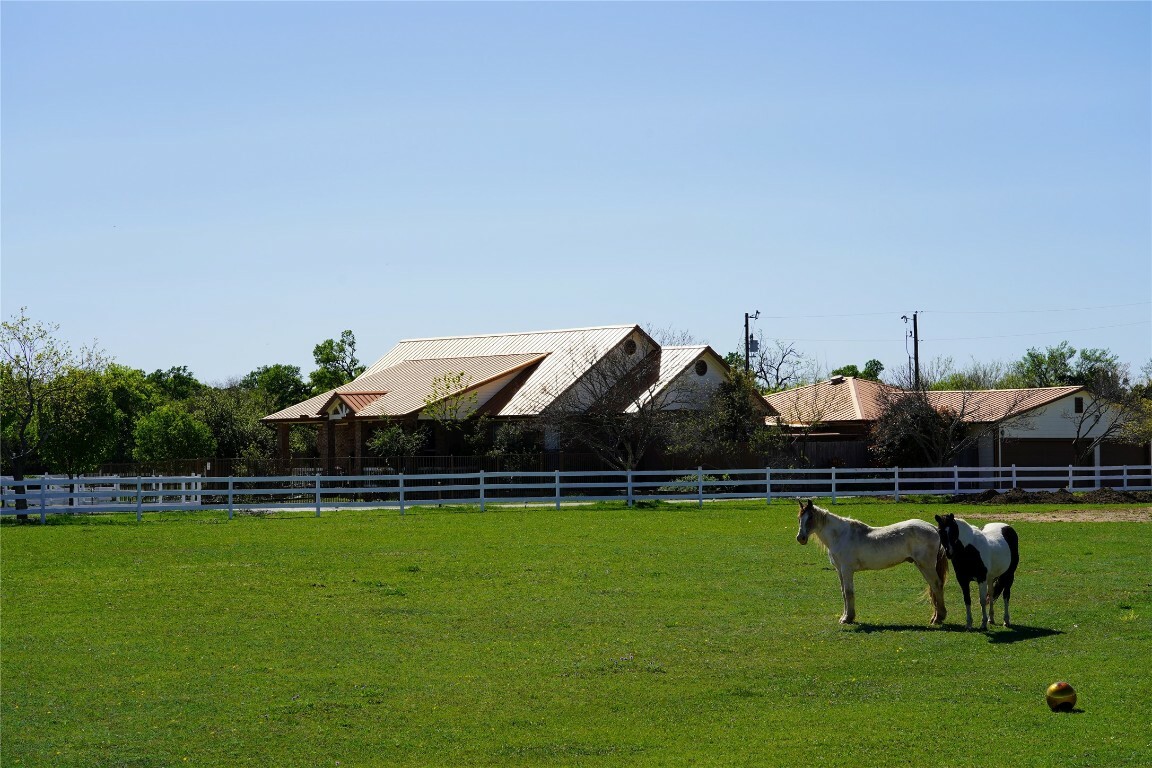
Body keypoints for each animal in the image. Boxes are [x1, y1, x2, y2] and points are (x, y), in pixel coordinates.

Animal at [797, 499, 949, 626]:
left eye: (810, 517)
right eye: (799, 518)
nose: (800, 538)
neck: (840, 536)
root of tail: (933, 528)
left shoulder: (847, 570)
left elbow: (848, 592)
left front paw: (848, 618)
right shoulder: (839, 570)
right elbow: (843, 592)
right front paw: (844, 617)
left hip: (926, 565)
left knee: (936, 585)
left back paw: (938, 618)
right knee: (934, 587)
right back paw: (936, 617)